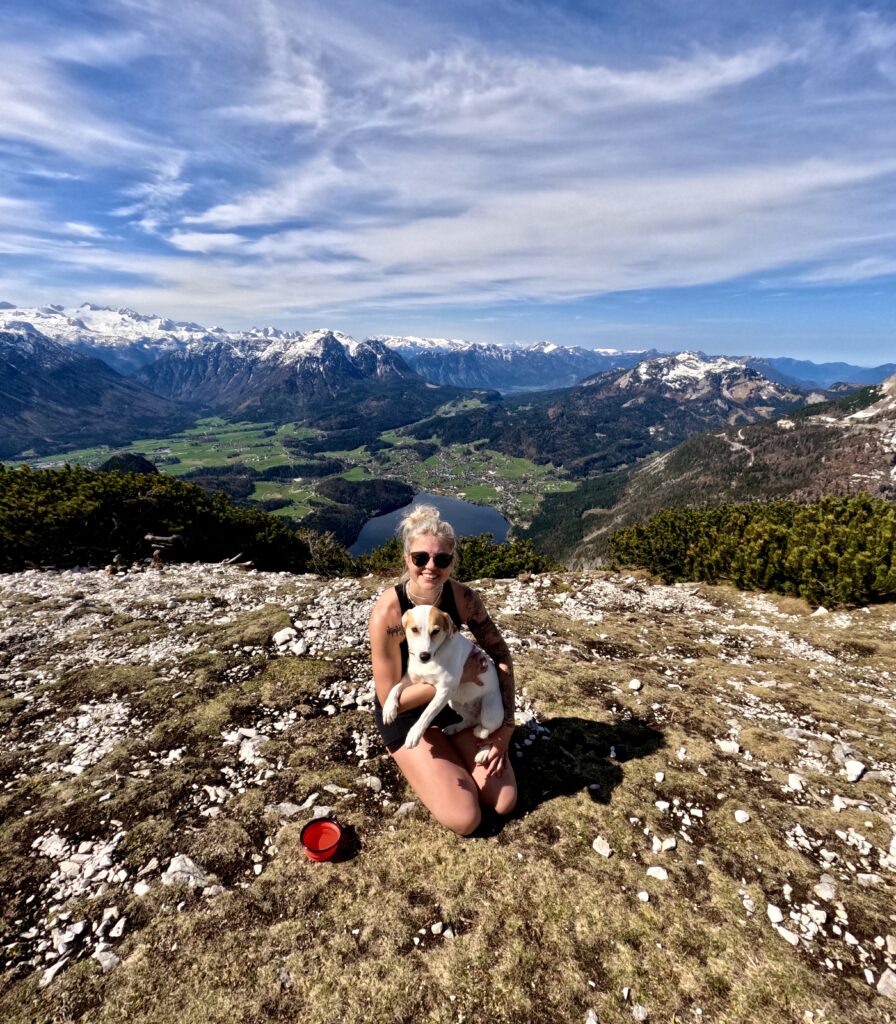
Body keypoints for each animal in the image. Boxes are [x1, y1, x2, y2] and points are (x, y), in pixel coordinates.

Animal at [380, 598, 503, 761]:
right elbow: (394, 688)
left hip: (488, 713)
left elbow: (427, 714)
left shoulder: (445, 690)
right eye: (414, 629)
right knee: (470, 721)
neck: (434, 657)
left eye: (436, 631)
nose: (424, 656)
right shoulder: (410, 679)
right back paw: (454, 727)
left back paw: (483, 752)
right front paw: (389, 708)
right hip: (455, 703)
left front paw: (414, 734)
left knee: (489, 734)